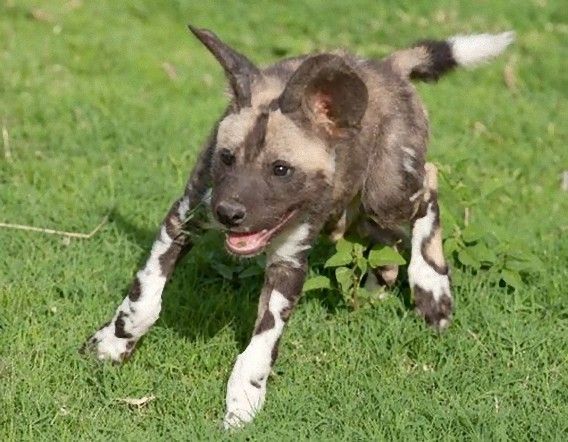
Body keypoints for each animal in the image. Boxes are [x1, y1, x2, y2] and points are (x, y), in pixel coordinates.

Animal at [84, 27, 516, 428]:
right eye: (227, 158)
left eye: (280, 170)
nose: (229, 213)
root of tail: (386, 67)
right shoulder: (183, 220)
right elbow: (144, 300)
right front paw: (114, 343)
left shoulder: (289, 266)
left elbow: (260, 346)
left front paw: (243, 401)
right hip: (359, 214)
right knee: (388, 241)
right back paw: (378, 286)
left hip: (388, 193)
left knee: (429, 183)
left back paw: (432, 288)